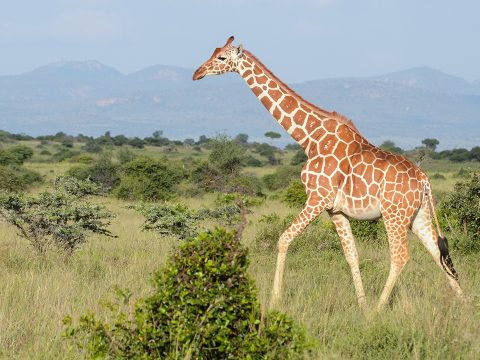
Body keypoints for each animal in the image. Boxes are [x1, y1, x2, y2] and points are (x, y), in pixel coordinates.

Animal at [192, 37, 464, 312]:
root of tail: (425, 181)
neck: (310, 138)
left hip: (394, 215)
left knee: (401, 257)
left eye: (221, 58)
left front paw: (274, 300)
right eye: (213, 52)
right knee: (438, 252)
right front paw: (362, 307)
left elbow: (283, 239)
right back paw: (465, 305)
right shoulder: (335, 209)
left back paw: (379, 310)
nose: (197, 73)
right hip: (418, 214)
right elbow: (352, 256)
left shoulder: (317, 198)